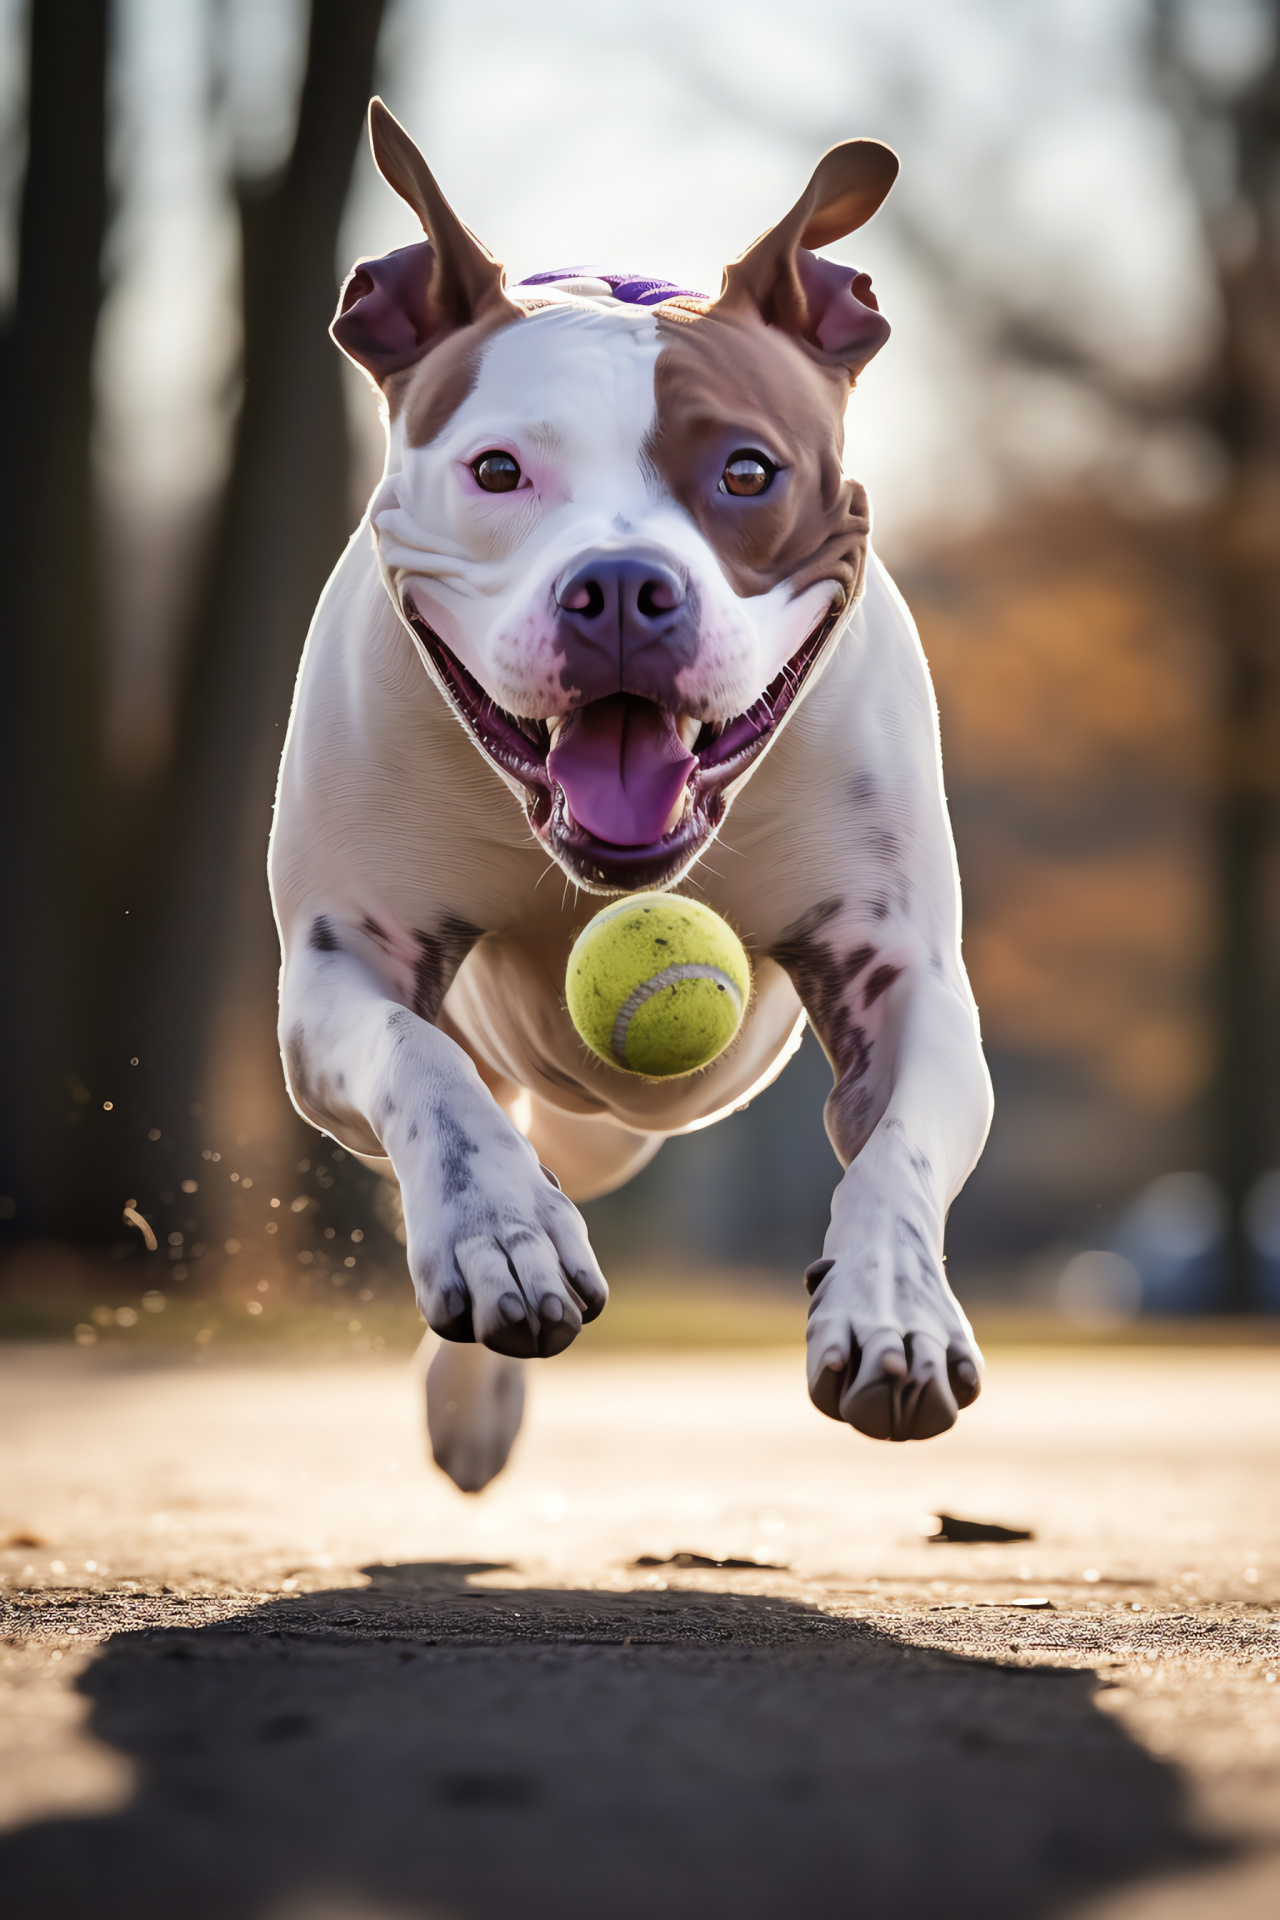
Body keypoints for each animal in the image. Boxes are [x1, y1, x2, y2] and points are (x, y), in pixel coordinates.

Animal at [268, 97, 990, 1489]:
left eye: (748, 473)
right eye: (498, 472)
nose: (616, 589)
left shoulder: (900, 975)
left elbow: (898, 1152)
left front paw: (892, 1308)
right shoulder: (339, 963)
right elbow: (423, 1076)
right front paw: (500, 1233)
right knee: (505, 1111)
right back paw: (474, 1394)